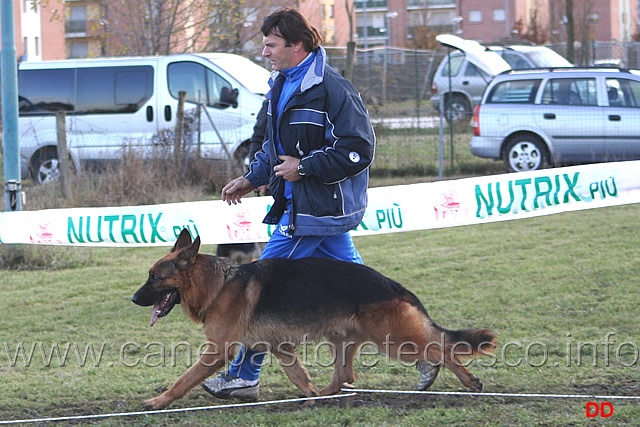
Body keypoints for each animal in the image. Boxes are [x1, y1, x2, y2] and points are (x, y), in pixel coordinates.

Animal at [132, 229, 498, 410]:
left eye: (154, 278)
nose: (134, 299)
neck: (218, 284)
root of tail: (394, 285)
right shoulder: (279, 347)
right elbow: (298, 374)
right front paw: (308, 394)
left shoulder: (217, 351)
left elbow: (184, 379)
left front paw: (158, 401)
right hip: (344, 338)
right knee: (346, 374)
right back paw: (324, 395)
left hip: (392, 339)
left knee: (441, 349)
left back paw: (469, 381)